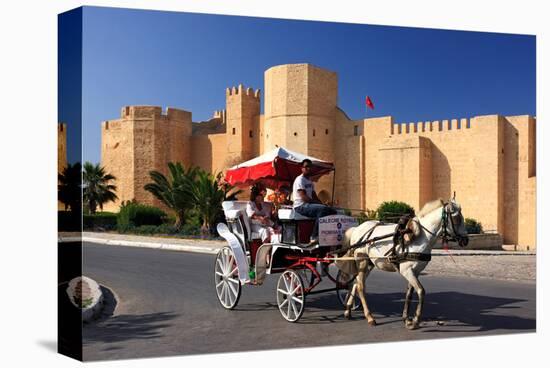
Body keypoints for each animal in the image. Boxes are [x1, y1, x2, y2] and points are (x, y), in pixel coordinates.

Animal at [336, 200, 470, 330]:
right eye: (457, 218)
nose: (465, 240)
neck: (418, 236)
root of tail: (357, 228)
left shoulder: (415, 271)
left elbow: (409, 293)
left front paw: (407, 319)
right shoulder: (407, 270)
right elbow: (421, 291)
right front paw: (415, 321)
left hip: (369, 263)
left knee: (356, 283)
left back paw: (348, 310)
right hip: (362, 261)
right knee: (361, 287)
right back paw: (369, 317)